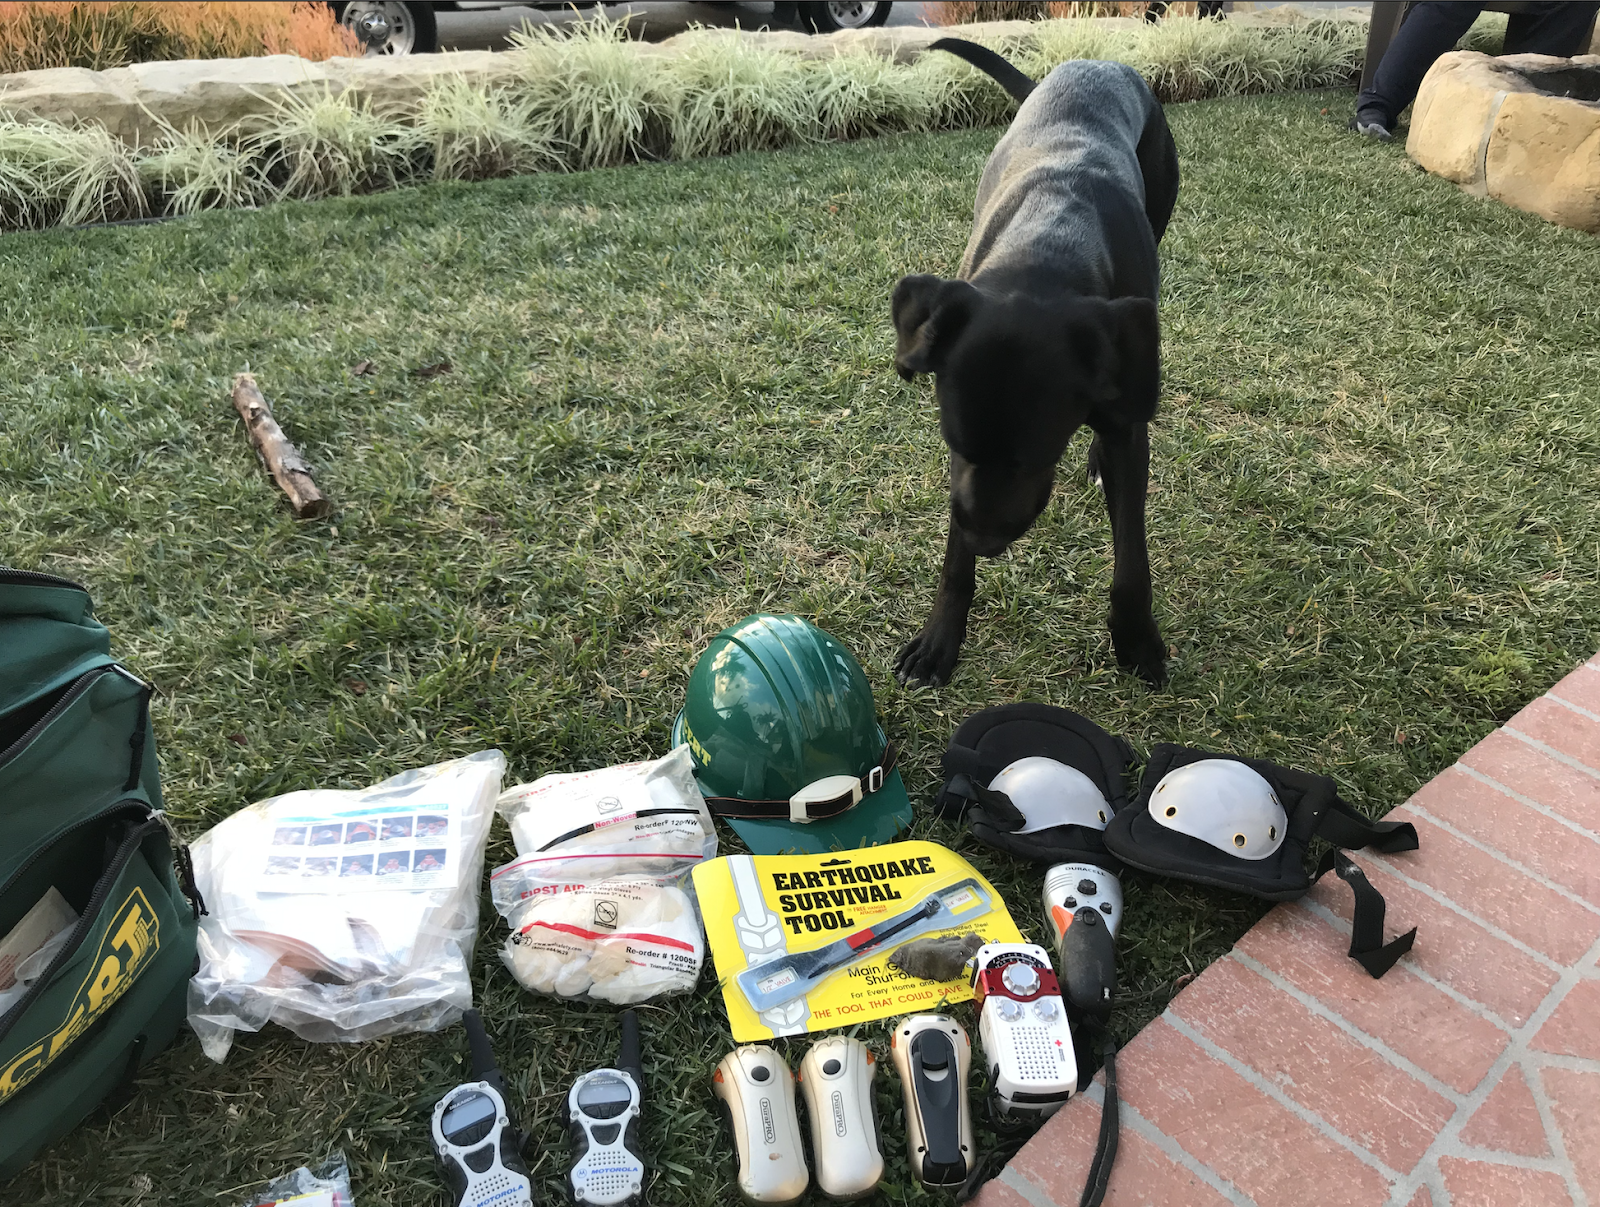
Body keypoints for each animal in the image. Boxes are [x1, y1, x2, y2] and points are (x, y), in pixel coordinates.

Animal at [896, 40, 1184, 685]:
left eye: (1034, 456)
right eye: (955, 444)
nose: (983, 538)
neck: (1048, 246)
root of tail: (1093, 63)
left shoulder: (1127, 417)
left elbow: (1131, 552)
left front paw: (1136, 640)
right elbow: (952, 556)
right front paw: (939, 639)